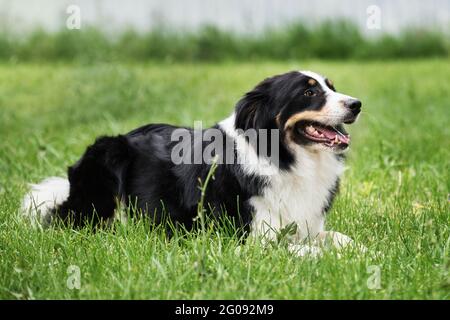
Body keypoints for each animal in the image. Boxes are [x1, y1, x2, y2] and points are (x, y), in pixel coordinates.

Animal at [21, 70, 362, 255]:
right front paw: (322, 256)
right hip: (108, 155)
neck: (283, 157)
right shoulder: (240, 237)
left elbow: (341, 238)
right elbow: (295, 248)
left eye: (331, 87)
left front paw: (362, 251)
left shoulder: (306, 223)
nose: (357, 104)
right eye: (309, 92)